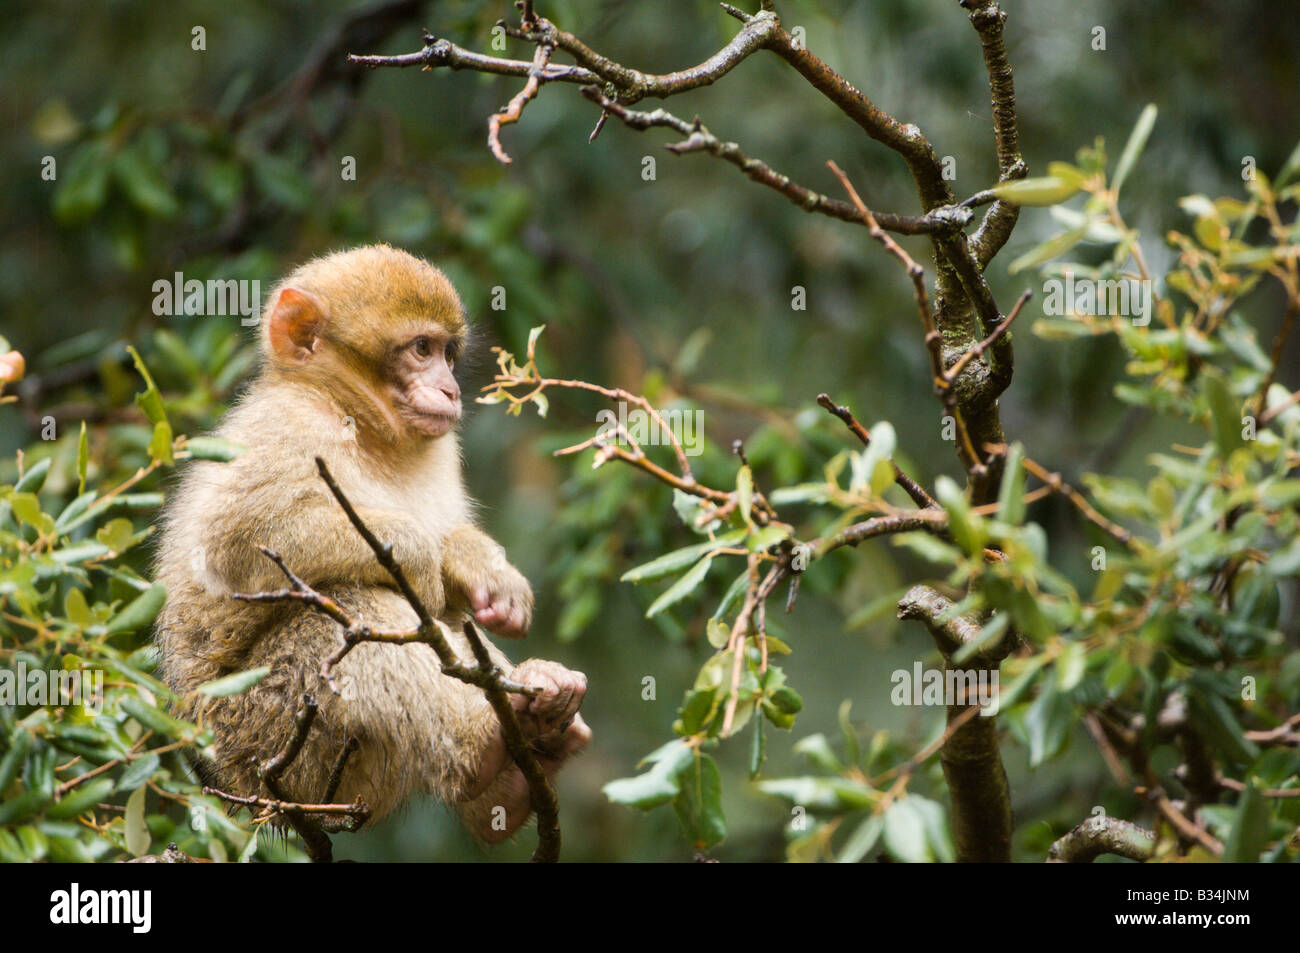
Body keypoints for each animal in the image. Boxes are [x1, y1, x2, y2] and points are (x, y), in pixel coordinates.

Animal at [150, 243, 590, 842]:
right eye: (421, 349)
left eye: (448, 354)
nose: (451, 389)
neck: (360, 423)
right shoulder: (288, 427)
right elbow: (233, 542)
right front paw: (421, 558)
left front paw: (484, 572)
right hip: (270, 739)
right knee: (347, 609)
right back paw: (480, 750)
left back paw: (515, 772)